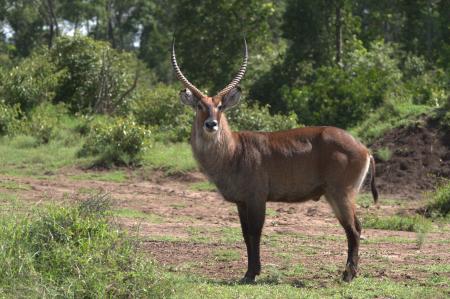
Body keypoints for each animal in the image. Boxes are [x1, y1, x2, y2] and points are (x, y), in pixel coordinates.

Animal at [171, 39, 378, 284]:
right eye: (199, 106)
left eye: (220, 106)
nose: (211, 124)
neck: (234, 151)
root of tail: (364, 149)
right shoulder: (242, 202)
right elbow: (245, 234)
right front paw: (249, 272)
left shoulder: (257, 198)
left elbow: (255, 233)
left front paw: (251, 274)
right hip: (334, 195)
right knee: (356, 227)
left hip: (341, 193)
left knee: (353, 230)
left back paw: (347, 276)